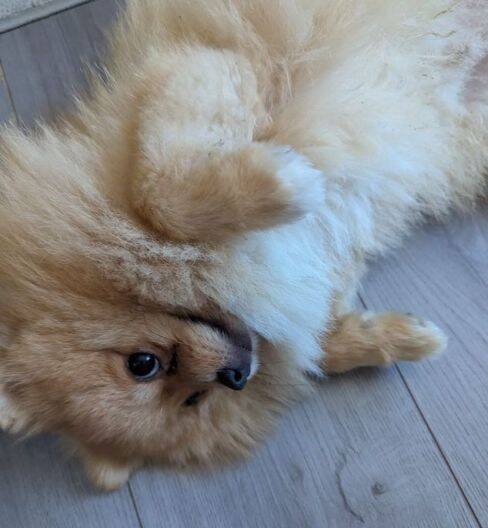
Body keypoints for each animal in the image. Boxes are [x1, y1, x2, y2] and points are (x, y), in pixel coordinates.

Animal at [0, 0, 486, 491]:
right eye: (194, 399)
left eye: (143, 364)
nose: (236, 376)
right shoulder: (322, 258)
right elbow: (319, 343)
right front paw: (404, 339)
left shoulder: (205, 67)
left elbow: (160, 190)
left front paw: (289, 184)